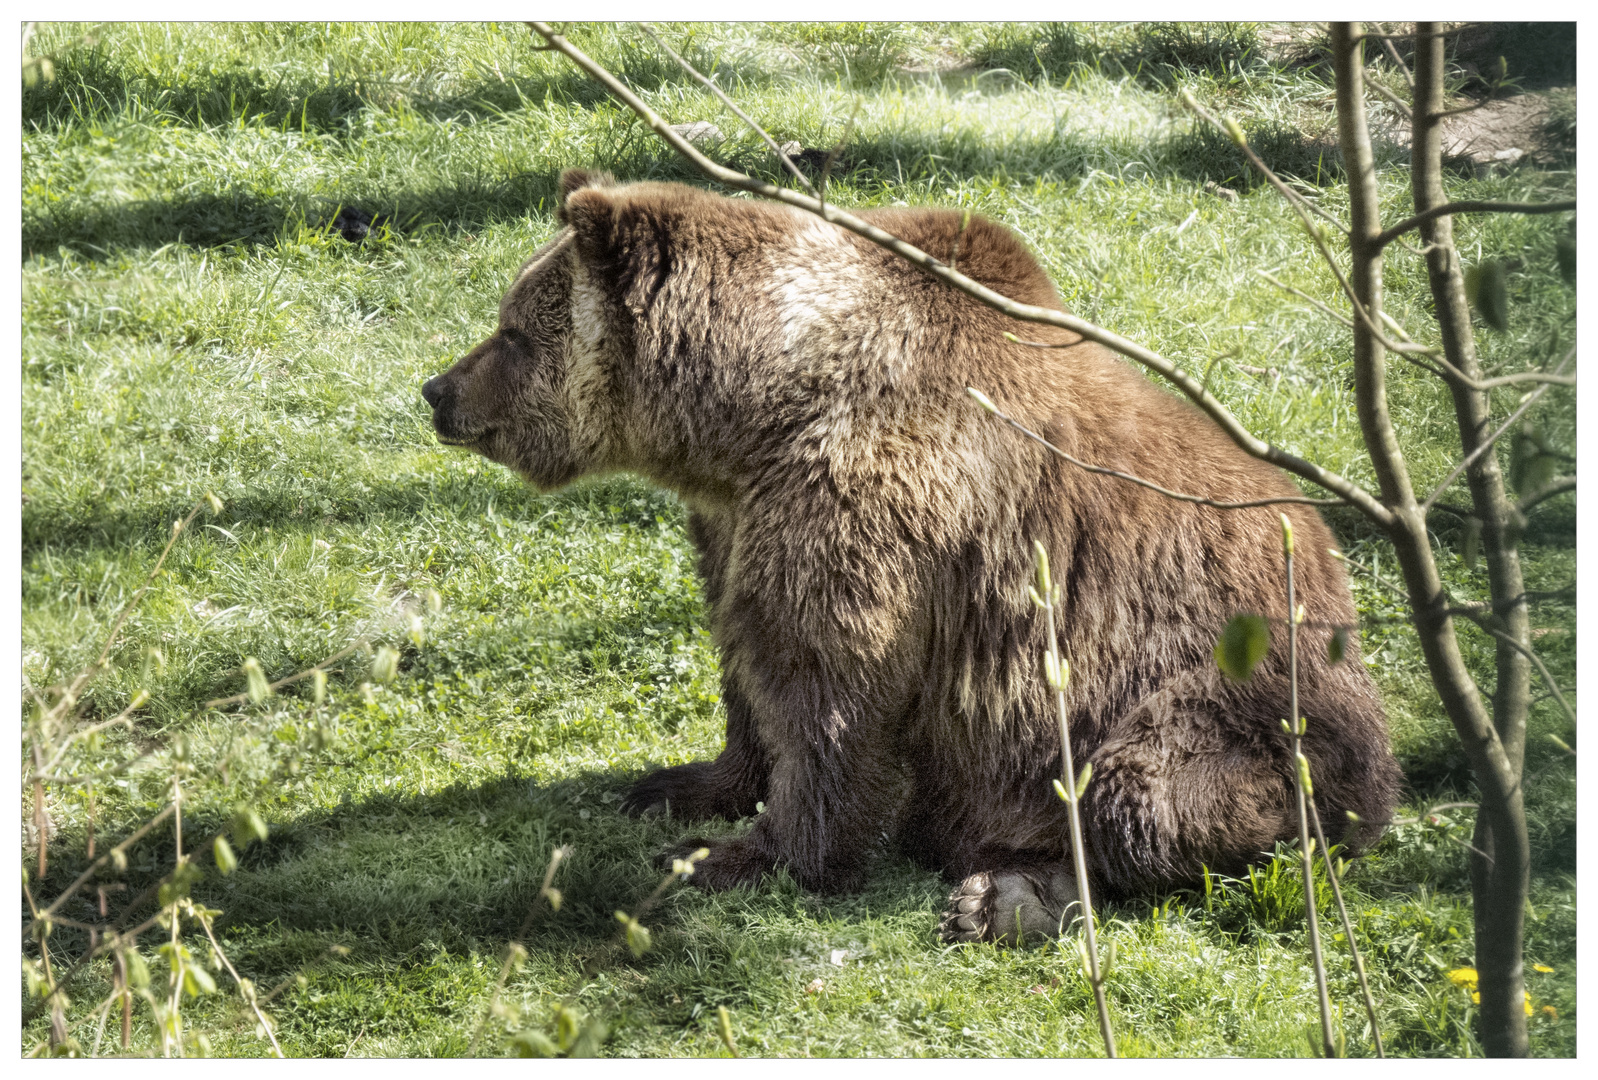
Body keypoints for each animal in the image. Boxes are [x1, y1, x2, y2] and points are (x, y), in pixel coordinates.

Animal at [421, 170, 1399, 945]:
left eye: (512, 331)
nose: (437, 390)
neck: (754, 415)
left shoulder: (862, 495)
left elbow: (828, 688)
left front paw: (741, 855)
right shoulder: (733, 519)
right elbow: (743, 657)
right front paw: (684, 783)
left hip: (1241, 704)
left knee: (1142, 800)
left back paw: (1012, 895)